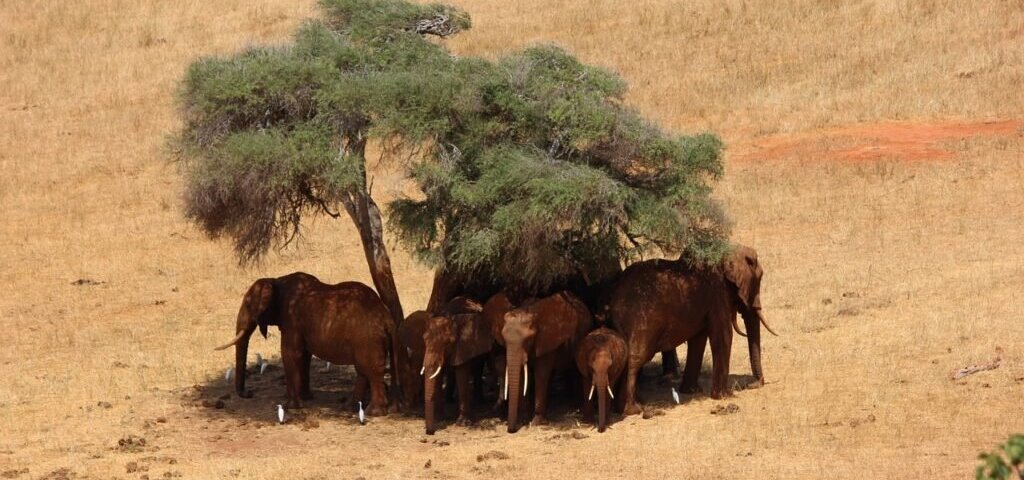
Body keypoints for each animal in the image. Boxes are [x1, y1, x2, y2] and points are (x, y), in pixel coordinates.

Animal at [214, 272, 399, 415]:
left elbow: (290, 353)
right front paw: (306, 398)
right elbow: (304, 355)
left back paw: (374, 413)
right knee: (363, 371)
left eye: (247, 304)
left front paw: (291, 406)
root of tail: (387, 318)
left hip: (368, 340)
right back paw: (349, 408)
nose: (249, 393)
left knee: (371, 371)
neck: (275, 280)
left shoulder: (291, 319)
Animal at [419, 296, 493, 434]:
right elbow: (438, 375)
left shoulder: (464, 345)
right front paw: (440, 418)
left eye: (448, 342)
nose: (429, 432)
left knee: (478, 368)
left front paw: (463, 423)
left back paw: (478, 401)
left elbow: (462, 373)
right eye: (424, 340)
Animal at [490, 291, 591, 433]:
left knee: (573, 371)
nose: (511, 430)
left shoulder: (546, 340)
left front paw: (536, 422)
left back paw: (574, 406)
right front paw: (524, 419)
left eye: (528, 339)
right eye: (504, 339)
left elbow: (541, 374)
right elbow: (523, 376)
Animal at [608, 245, 775, 415]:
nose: (751, 385)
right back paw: (632, 410)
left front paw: (691, 391)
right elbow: (723, 335)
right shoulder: (717, 292)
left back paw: (622, 408)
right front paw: (724, 396)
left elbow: (698, 340)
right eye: (758, 280)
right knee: (636, 358)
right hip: (641, 321)